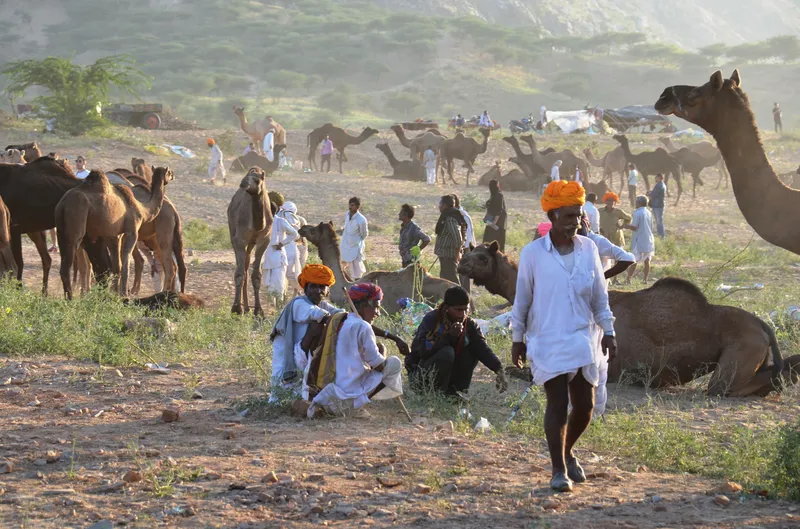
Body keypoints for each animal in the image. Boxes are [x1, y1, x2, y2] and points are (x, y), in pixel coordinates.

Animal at [55, 167, 172, 300]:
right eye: (169, 172)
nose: (172, 176)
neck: (142, 209)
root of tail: (63, 204)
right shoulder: (132, 231)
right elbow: (125, 262)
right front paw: (124, 295)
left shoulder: (114, 235)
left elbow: (117, 266)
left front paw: (115, 294)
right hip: (76, 223)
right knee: (69, 263)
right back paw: (70, 299)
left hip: (60, 229)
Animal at [227, 167, 274, 316]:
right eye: (245, 176)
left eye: (257, 180)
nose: (243, 183)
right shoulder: (239, 240)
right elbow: (239, 273)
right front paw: (236, 308)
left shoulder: (264, 240)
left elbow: (257, 275)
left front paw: (259, 310)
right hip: (233, 233)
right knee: (242, 266)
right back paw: (243, 307)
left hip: (251, 243)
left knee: (247, 265)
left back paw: (247, 308)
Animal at [456, 241, 800, 394]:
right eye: (468, 252)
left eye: (482, 257)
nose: (461, 264)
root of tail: (762, 325)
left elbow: (519, 371)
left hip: (737, 356)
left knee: (730, 386)